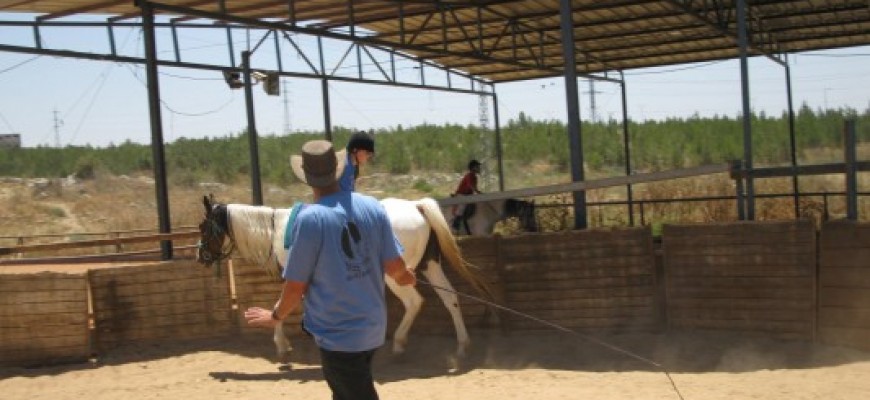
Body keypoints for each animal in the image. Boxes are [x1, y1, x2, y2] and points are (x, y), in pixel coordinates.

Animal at [199, 195, 498, 360]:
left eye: (203, 227)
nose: (200, 256)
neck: (278, 230)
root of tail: (416, 206)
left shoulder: (298, 279)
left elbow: (280, 308)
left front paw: (282, 346)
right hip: (430, 266)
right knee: (451, 299)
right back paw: (462, 346)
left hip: (397, 275)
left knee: (414, 302)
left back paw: (399, 344)